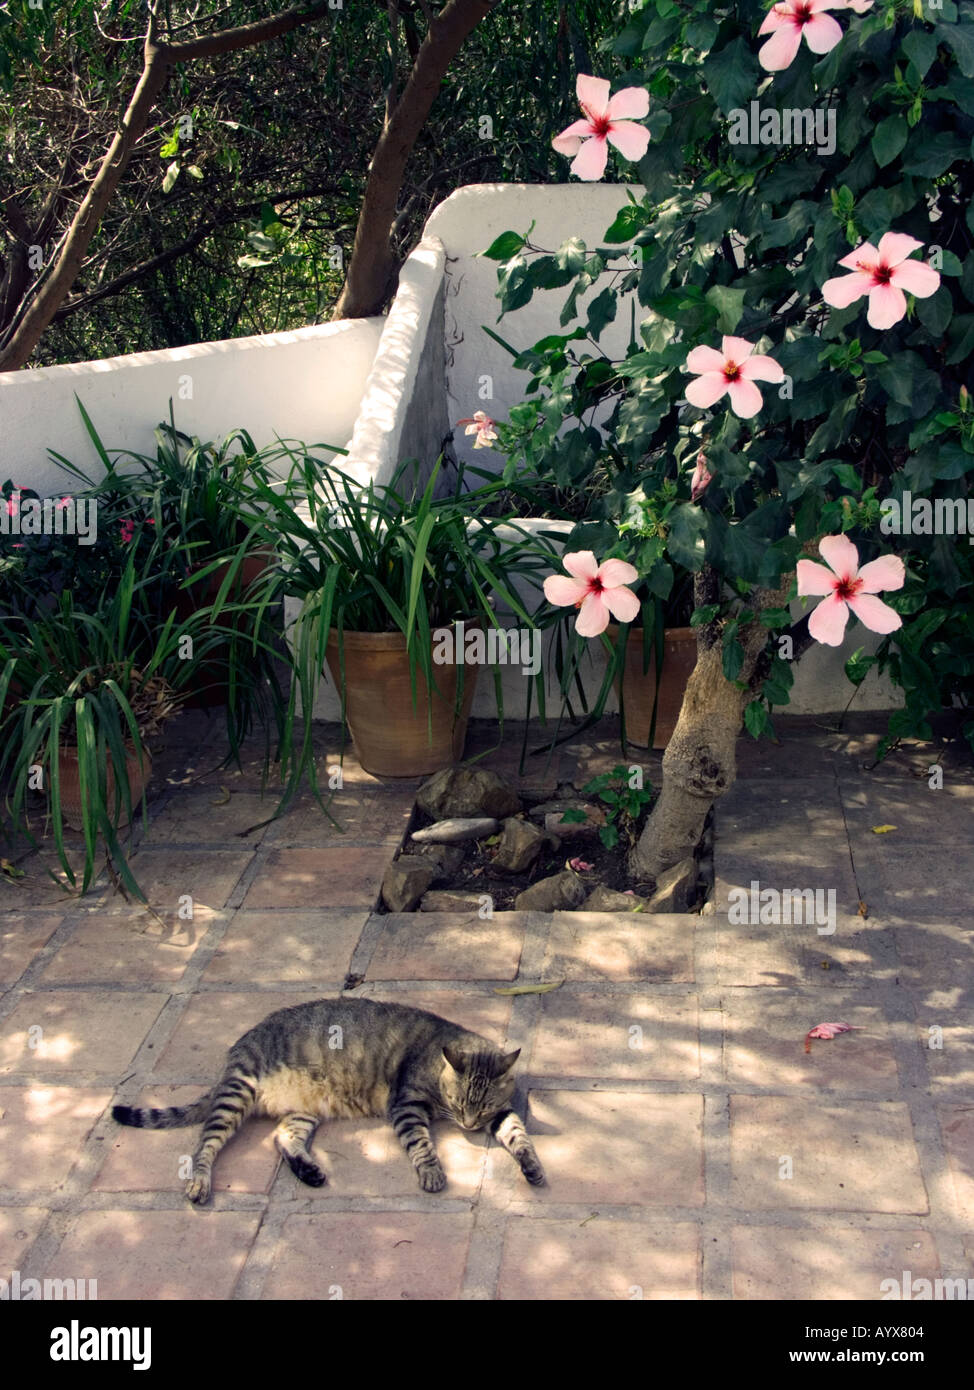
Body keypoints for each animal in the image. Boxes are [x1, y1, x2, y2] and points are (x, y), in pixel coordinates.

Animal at [113, 995, 547, 1200]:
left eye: (482, 1108)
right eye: (458, 1105)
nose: (470, 1127)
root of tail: (234, 1052)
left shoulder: (502, 1113)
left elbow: (518, 1134)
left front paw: (532, 1166)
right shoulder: (406, 1106)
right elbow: (422, 1144)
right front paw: (432, 1172)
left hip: (302, 1112)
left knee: (281, 1138)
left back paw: (310, 1171)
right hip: (237, 1094)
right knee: (205, 1144)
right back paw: (200, 1184)